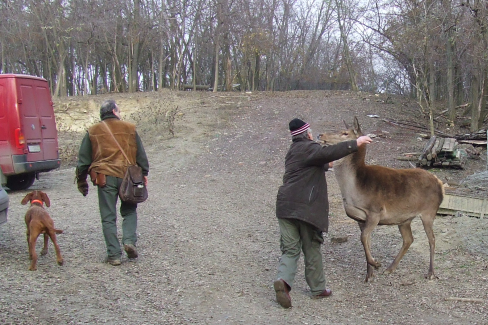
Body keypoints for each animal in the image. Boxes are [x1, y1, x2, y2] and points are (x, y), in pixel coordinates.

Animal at [318, 116, 444, 280]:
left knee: (432, 239)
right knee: (409, 239)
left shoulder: (375, 211)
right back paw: (390, 268)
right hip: (404, 218)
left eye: (345, 133)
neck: (355, 190)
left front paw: (375, 264)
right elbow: (366, 240)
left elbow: (363, 237)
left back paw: (430, 273)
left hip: (429, 211)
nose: (321, 135)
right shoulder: (360, 218)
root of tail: (440, 184)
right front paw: (369, 274)